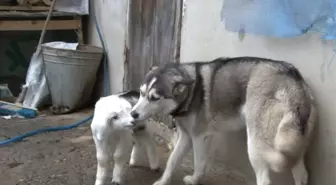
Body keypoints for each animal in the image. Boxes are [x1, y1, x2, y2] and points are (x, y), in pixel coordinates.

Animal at [130, 57, 316, 185]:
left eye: (155, 98)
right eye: (141, 93)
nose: (133, 114)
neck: (191, 91)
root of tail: (292, 78)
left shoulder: (199, 137)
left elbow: (199, 163)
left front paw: (195, 180)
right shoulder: (186, 136)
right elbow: (172, 161)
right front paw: (162, 181)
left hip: (256, 145)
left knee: (264, 179)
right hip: (292, 147)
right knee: (301, 174)